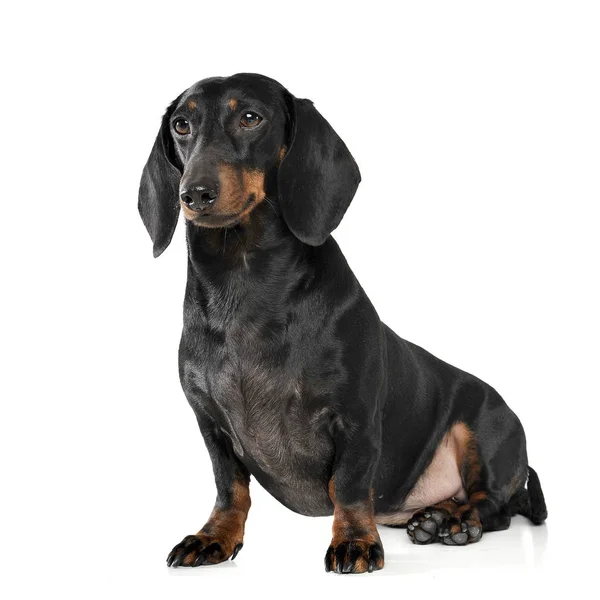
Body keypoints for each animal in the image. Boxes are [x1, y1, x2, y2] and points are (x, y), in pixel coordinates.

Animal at [138, 71, 548, 572]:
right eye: (181, 124)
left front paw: (353, 541)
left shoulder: (355, 418)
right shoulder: (209, 423)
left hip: (484, 431)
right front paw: (214, 536)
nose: (194, 193)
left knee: (494, 506)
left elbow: (349, 485)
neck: (244, 282)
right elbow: (228, 487)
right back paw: (433, 517)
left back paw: (456, 522)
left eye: (251, 117)